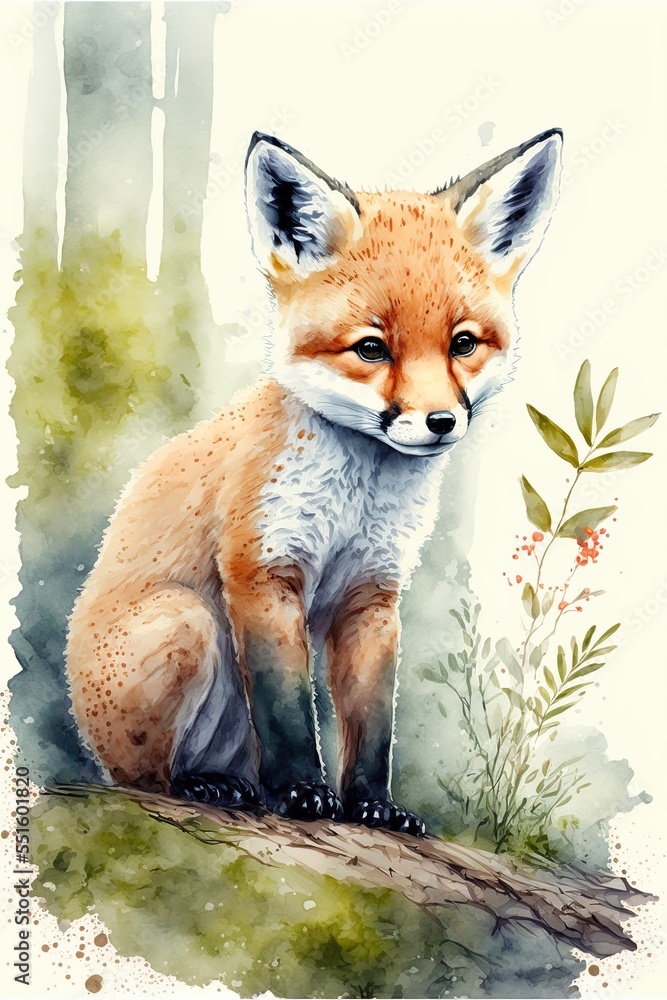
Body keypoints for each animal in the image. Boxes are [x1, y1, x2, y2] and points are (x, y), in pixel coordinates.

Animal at [65, 128, 563, 837]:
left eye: (463, 344)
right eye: (371, 349)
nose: (440, 422)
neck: (356, 500)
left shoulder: (372, 594)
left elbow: (371, 725)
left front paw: (374, 807)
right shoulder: (262, 570)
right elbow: (288, 712)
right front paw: (303, 791)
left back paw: (237, 786)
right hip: (186, 622)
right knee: (145, 779)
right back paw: (204, 786)